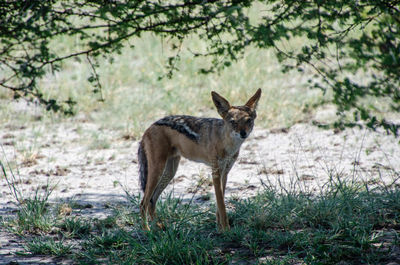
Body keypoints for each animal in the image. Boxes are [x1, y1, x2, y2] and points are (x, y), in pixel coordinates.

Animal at [138, 87, 262, 230]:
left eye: (248, 121)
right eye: (233, 122)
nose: (243, 133)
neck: (228, 144)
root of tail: (148, 128)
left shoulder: (225, 173)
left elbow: (220, 204)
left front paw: (219, 228)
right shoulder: (215, 173)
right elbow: (221, 204)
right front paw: (226, 229)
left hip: (169, 172)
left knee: (152, 200)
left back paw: (159, 227)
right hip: (158, 171)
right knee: (143, 202)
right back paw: (147, 230)